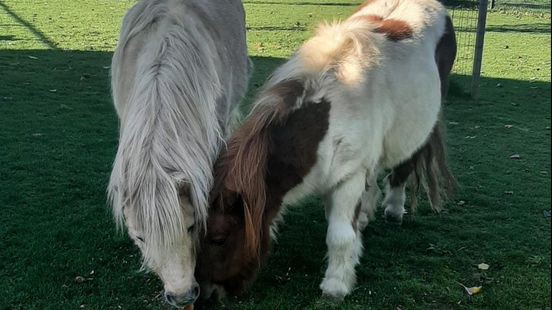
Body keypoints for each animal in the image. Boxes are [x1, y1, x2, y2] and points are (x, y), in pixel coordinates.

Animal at [198, 0, 458, 300]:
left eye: (219, 238)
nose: (206, 294)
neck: (328, 113)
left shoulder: (349, 177)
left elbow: (340, 235)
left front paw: (336, 285)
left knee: (404, 165)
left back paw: (394, 208)